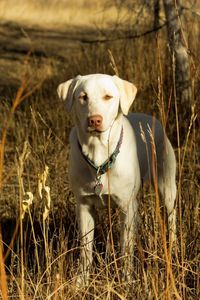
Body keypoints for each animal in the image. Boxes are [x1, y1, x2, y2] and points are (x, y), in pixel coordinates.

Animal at [56, 74, 177, 284]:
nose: (94, 120)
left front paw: (126, 280)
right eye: (83, 97)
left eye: (108, 96)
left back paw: (175, 246)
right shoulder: (84, 206)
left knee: (171, 216)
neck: (98, 157)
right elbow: (85, 249)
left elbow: (125, 249)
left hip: (167, 185)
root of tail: (153, 120)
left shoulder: (126, 206)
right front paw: (81, 281)